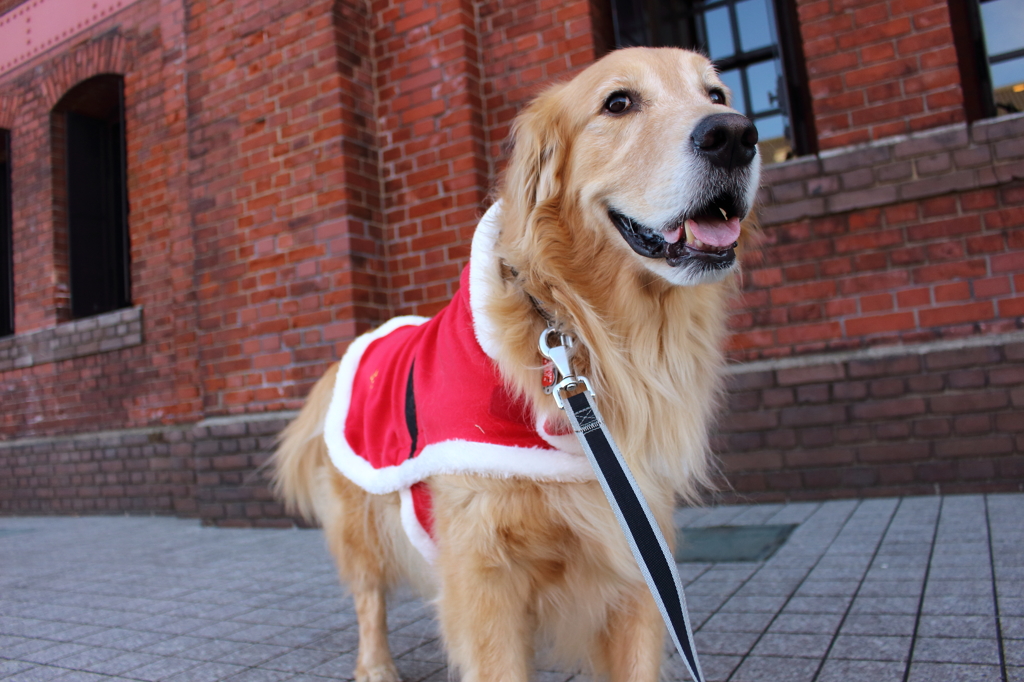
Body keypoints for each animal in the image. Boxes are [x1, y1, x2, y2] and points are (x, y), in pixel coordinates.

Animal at [272, 47, 761, 679]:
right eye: (618, 102)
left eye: (716, 95)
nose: (736, 136)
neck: (581, 322)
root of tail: (361, 345)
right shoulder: (483, 577)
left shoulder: (637, 548)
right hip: (365, 527)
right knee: (368, 599)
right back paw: (376, 666)